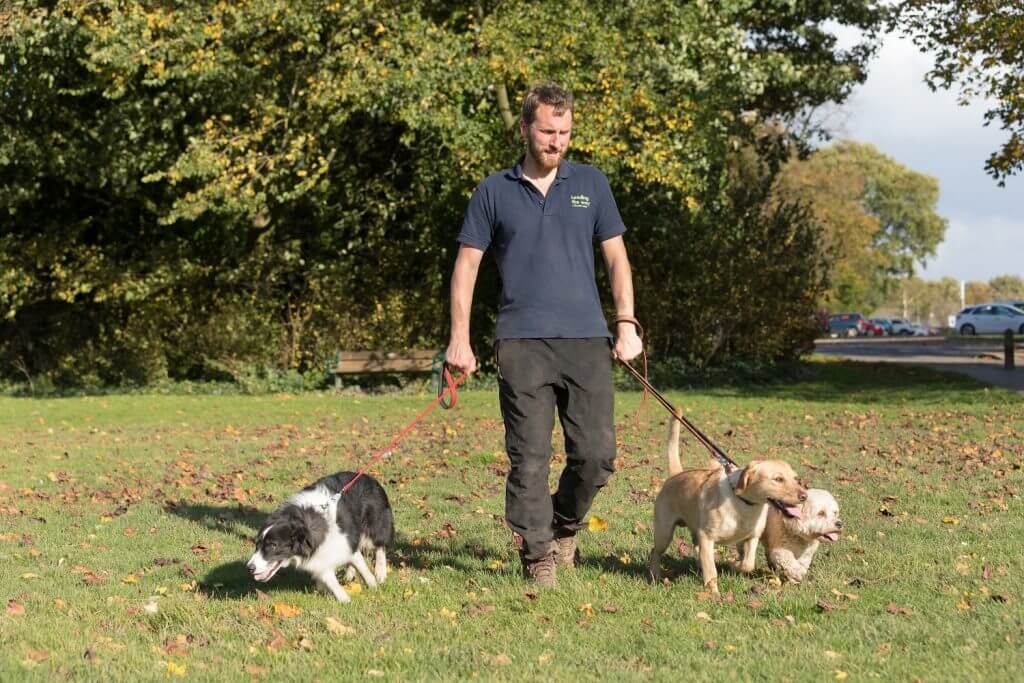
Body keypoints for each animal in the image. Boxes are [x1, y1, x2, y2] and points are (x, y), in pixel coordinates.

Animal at [647, 411, 806, 593]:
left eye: (796, 479)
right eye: (778, 479)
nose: (804, 496)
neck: (743, 503)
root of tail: (676, 475)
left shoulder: (752, 537)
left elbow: (748, 564)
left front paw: (734, 565)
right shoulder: (707, 537)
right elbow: (712, 571)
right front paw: (714, 593)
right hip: (664, 533)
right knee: (655, 552)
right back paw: (655, 575)